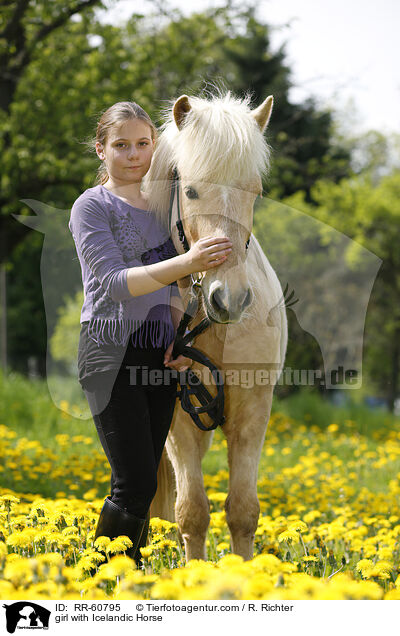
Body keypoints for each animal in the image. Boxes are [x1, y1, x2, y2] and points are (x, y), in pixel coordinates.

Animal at [145, 90, 290, 560]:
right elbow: (192, 512)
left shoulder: (252, 414)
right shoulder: (179, 421)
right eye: (190, 190)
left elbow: (242, 510)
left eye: (255, 192)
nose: (229, 298)